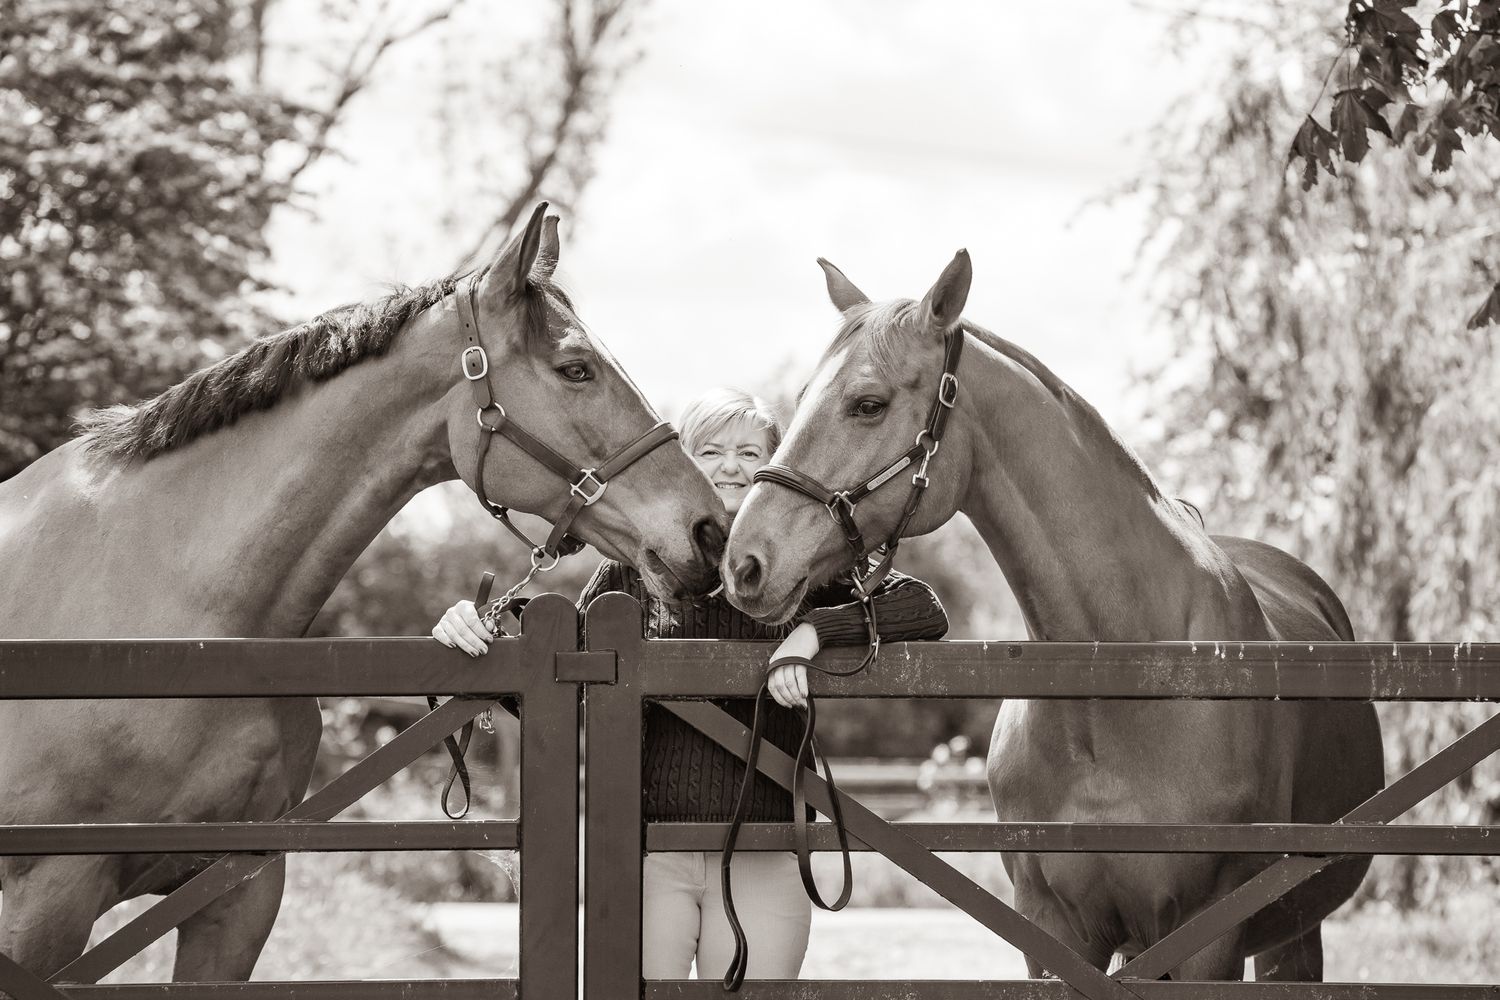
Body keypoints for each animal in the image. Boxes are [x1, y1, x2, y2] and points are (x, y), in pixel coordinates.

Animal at [722, 250, 1384, 982]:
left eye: (869, 404)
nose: (744, 561)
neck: (1119, 682)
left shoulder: (1208, 942)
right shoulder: (1053, 931)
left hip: (1289, 935)